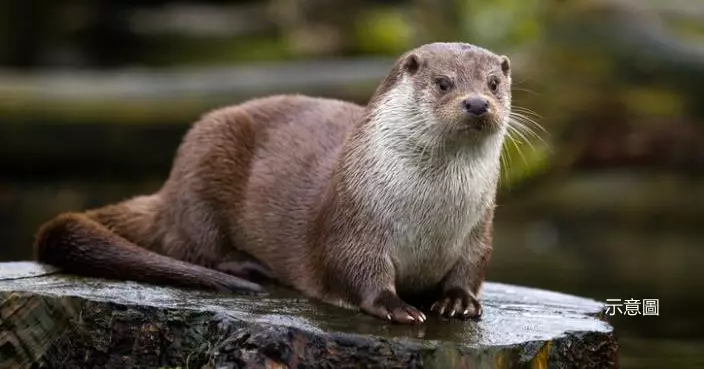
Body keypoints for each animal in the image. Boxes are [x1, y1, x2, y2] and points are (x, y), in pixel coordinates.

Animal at [33, 41, 512, 324]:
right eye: (444, 83)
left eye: (494, 83)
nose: (476, 103)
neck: (431, 216)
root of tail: (168, 191)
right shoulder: (353, 222)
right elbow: (355, 270)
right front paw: (398, 307)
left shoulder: (479, 230)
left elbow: (472, 269)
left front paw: (458, 302)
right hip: (203, 161)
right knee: (189, 243)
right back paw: (247, 267)